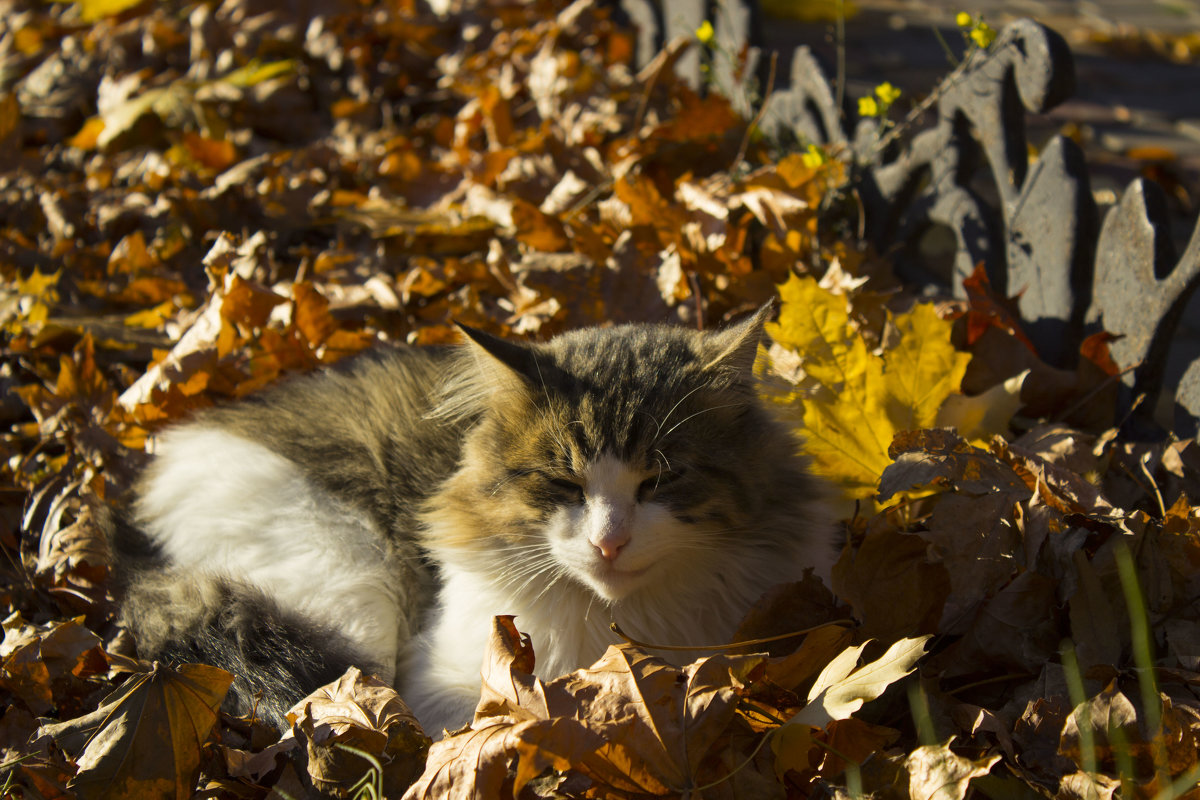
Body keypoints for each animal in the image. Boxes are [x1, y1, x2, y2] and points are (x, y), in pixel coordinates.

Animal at [108, 309, 830, 738]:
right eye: (563, 483)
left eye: (660, 479)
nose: (609, 542)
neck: (623, 628)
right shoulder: (439, 679)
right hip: (354, 594)